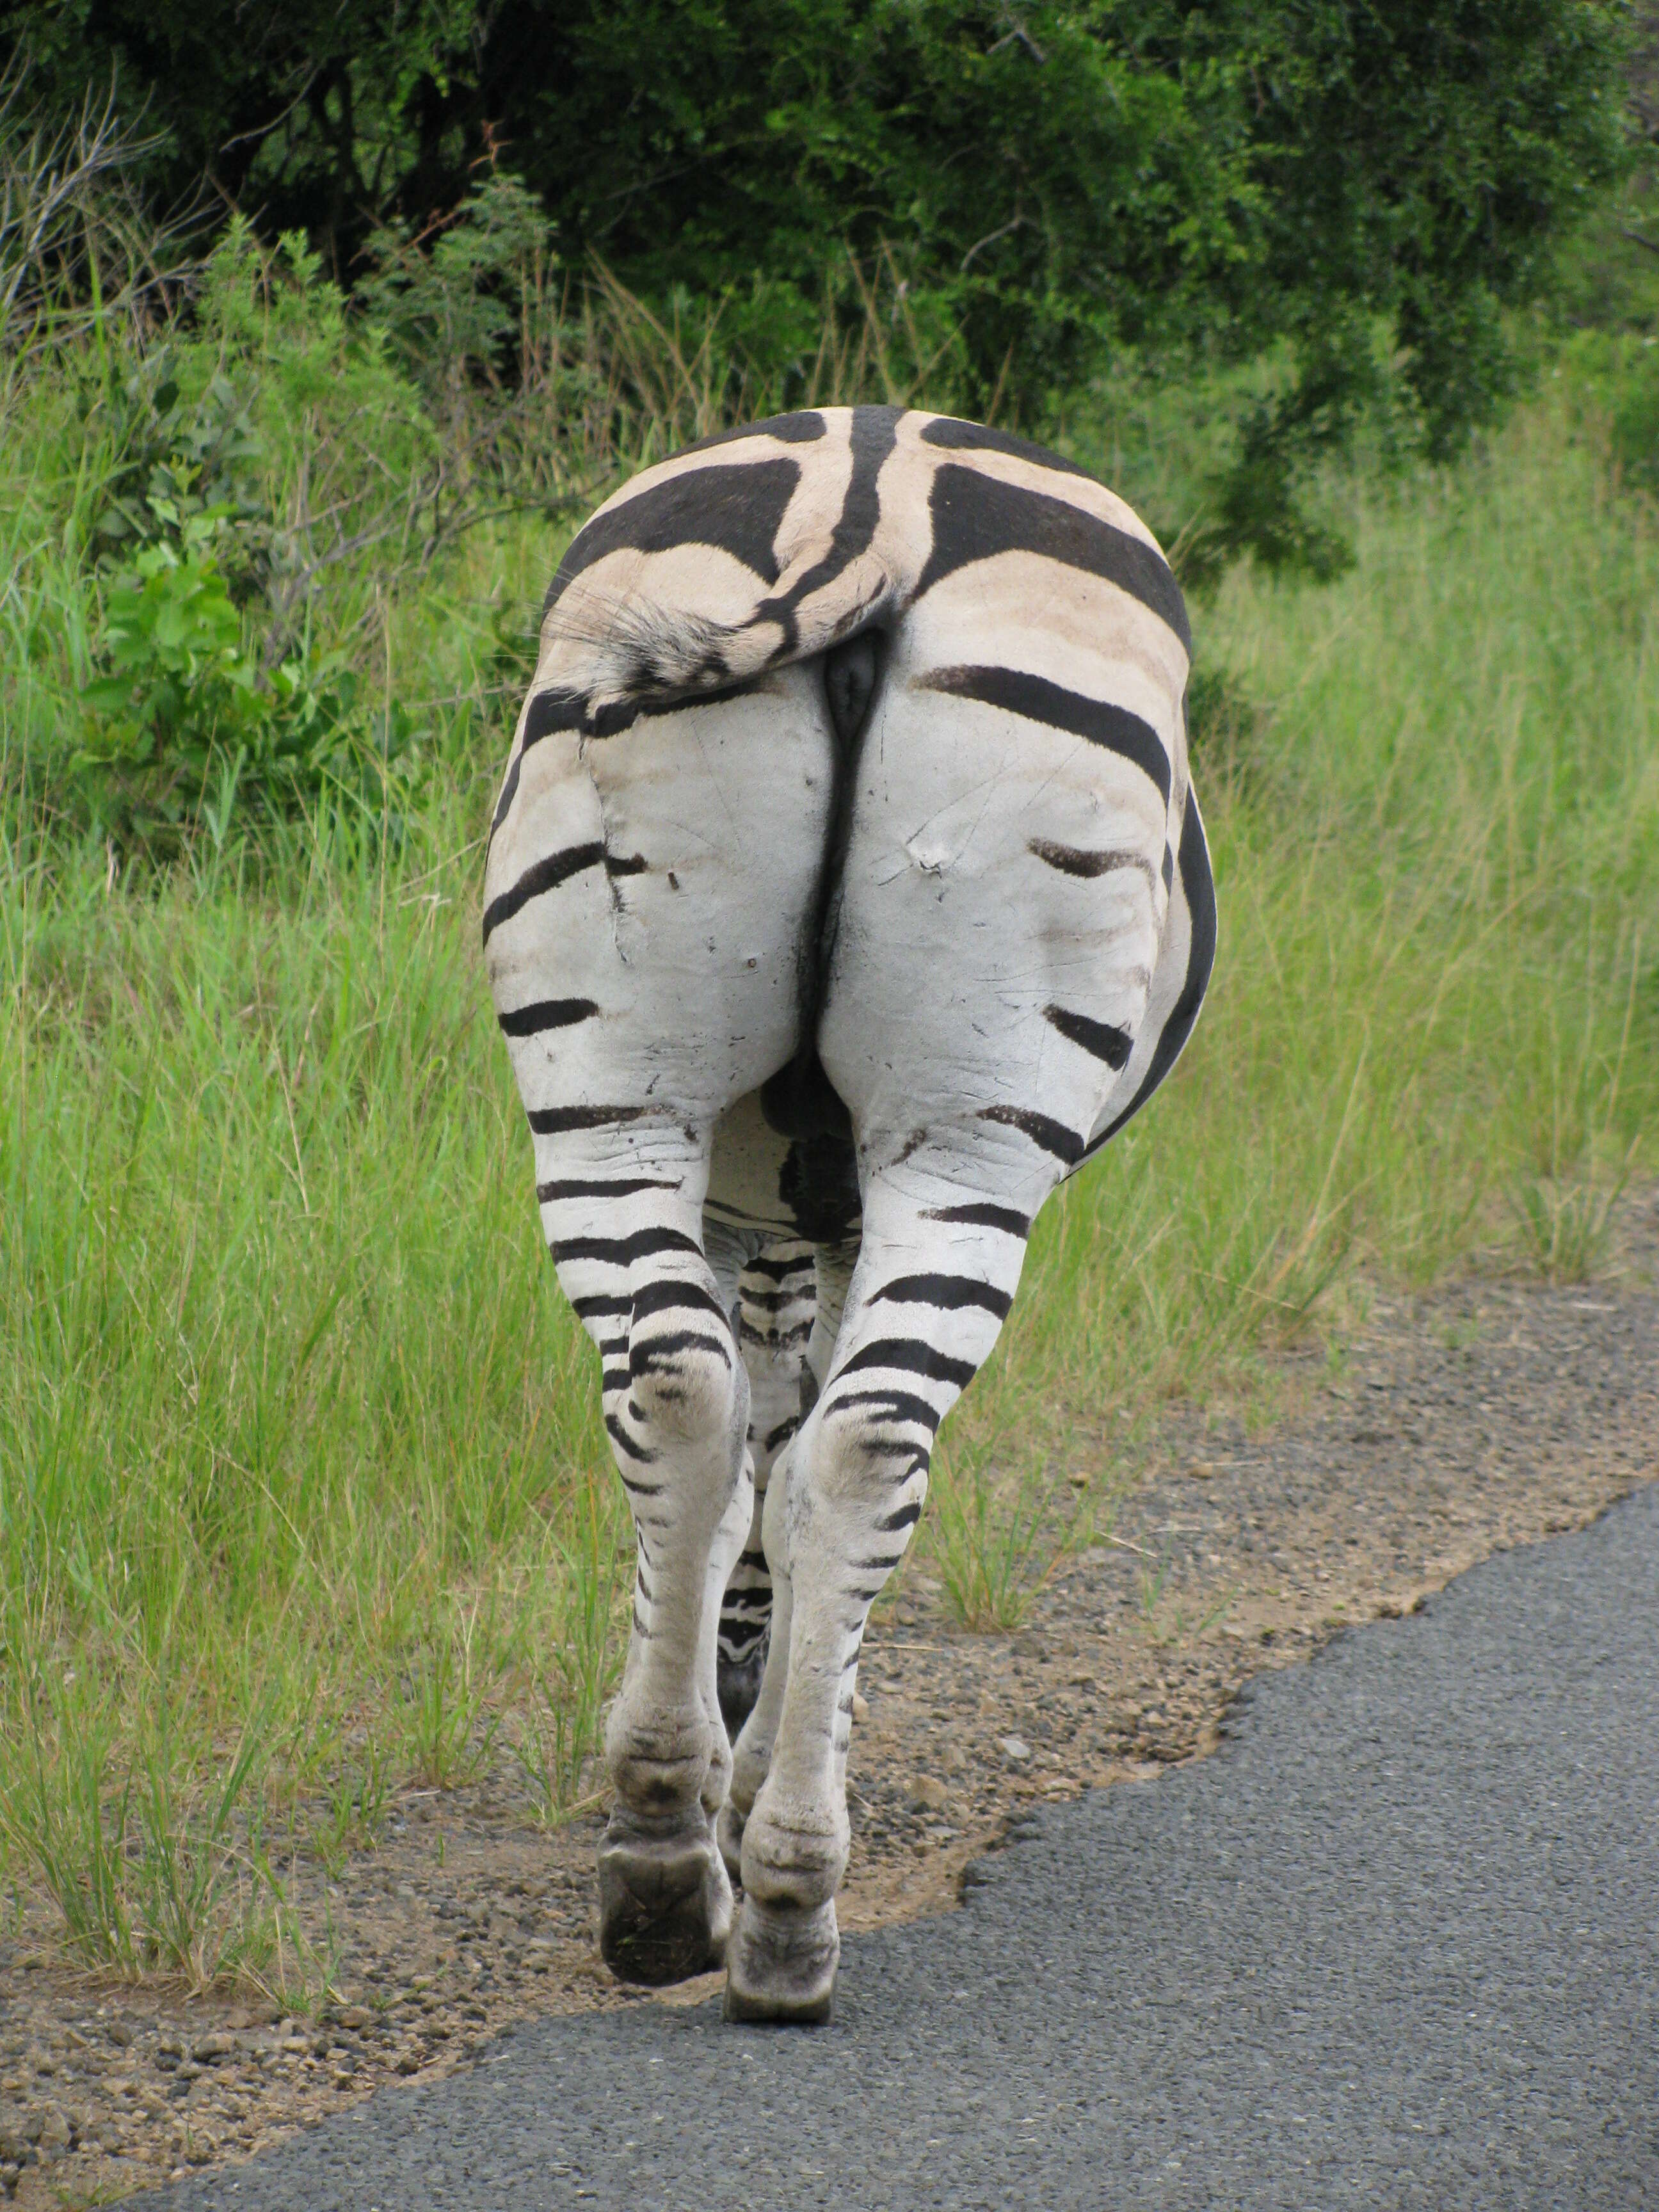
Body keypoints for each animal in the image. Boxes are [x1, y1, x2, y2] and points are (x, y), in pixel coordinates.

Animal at [486, 402, 1212, 2026]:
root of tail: (875, 479)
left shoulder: (759, 1199)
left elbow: (756, 1449)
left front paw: (727, 1732)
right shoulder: (816, 1213)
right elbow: (796, 1458)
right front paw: (772, 1736)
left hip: (611, 1089)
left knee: (684, 1395)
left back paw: (660, 1855)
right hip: (972, 1132)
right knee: (871, 1440)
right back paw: (787, 1898)